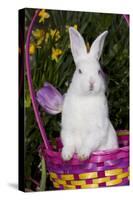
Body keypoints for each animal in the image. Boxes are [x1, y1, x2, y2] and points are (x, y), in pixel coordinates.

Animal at [60, 27, 118, 161]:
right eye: (80, 71)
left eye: (99, 71)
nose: (92, 82)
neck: (86, 97)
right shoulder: (68, 129)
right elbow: (69, 143)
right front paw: (66, 156)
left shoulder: (97, 130)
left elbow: (88, 143)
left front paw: (82, 155)